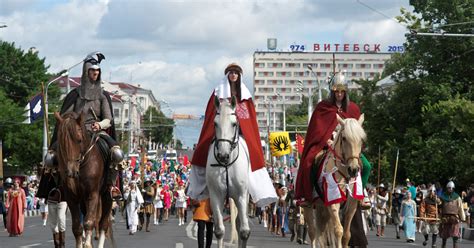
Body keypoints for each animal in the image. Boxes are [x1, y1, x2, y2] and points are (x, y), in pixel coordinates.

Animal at [54, 112, 114, 248]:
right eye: (62, 143)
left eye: (79, 140)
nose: (71, 172)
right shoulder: (72, 198)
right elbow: (77, 227)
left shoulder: (93, 195)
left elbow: (89, 222)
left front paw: (87, 244)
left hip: (107, 195)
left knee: (103, 224)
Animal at [207, 96, 252, 248]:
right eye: (215, 123)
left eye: (234, 124)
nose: (223, 155)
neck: (227, 165)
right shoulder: (216, 196)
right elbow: (219, 231)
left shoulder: (241, 196)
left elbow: (244, 231)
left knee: (239, 225)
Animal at [304, 113, 366, 247]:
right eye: (344, 138)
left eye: (361, 139)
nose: (353, 169)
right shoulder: (333, 201)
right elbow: (338, 230)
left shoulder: (352, 205)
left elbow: (347, 234)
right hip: (307, 205)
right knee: (312, 233)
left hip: (322, 207)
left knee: (321, 231)